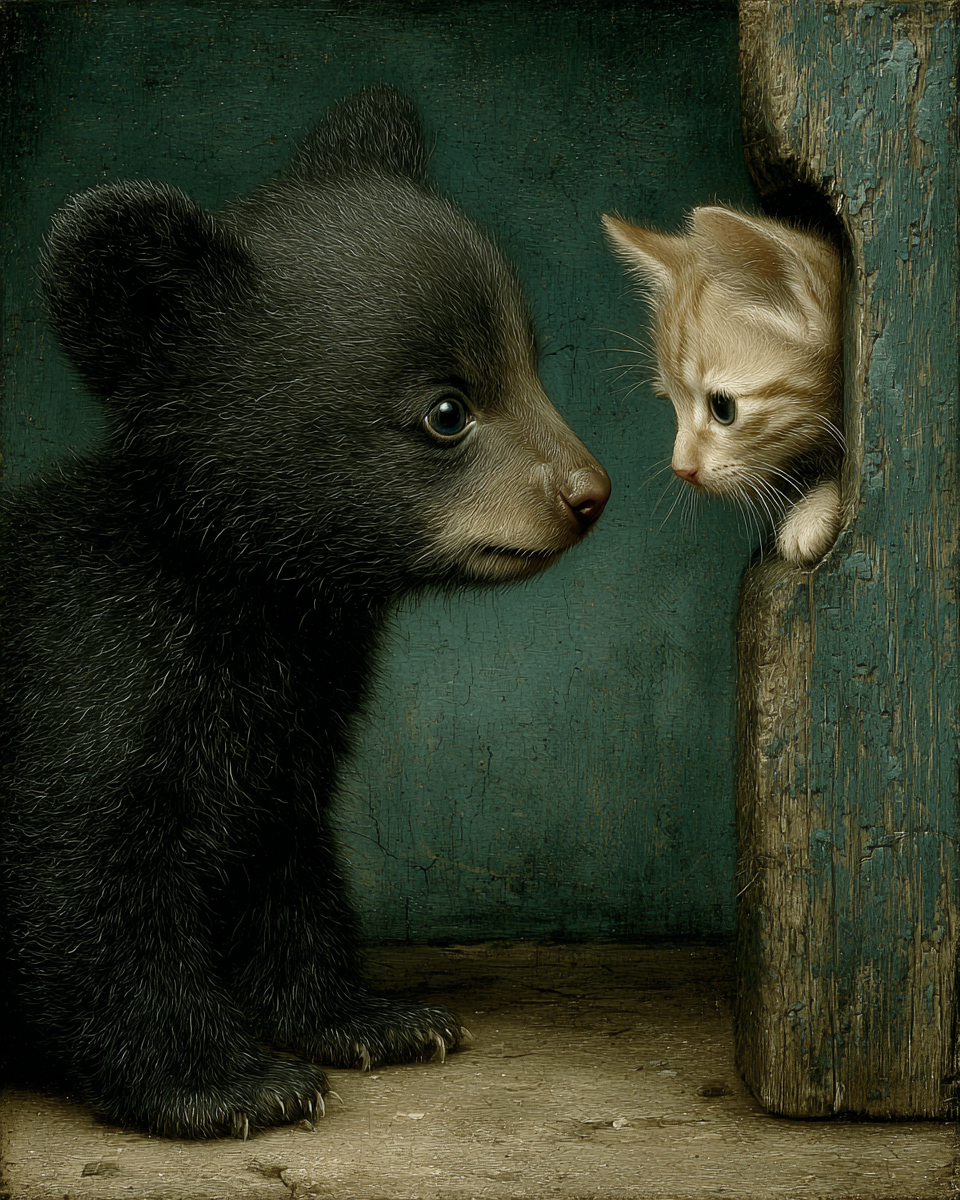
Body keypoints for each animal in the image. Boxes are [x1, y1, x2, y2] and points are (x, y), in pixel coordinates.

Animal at [0, 86, 609, 1140]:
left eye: (530, 365)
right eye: (448, 411)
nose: (587, 492)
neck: (250, 596)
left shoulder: (292, 723)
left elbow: (286, 862)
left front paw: (366, 1016)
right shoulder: (92, 681)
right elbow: (86, 891)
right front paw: (223, 1081)